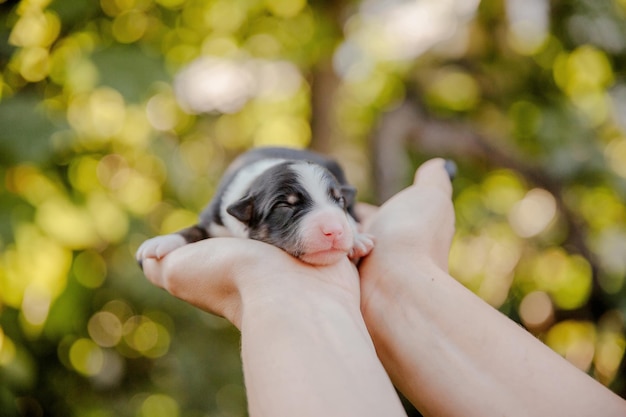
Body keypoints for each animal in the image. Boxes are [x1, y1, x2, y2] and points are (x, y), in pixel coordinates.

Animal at [135, 146, 372, 264]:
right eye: (284, 206)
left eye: (339, 200)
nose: (335, 231)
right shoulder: (213, 219)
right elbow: (193, 230)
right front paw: (161, 241)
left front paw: (357, 238)